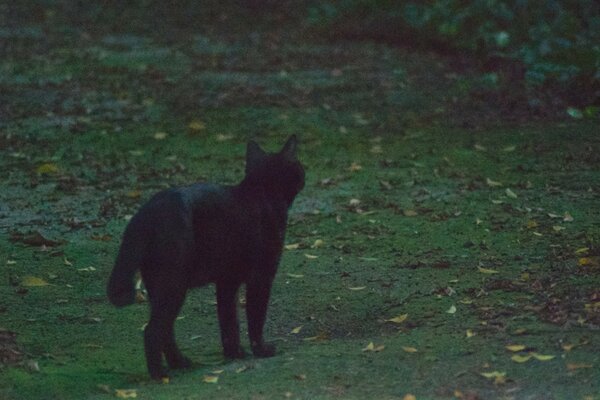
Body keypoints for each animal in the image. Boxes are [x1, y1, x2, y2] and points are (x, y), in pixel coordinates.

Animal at [106, 135, 304, 378]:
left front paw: (234, 353)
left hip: (159, 286)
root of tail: (145, 213)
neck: (262, 191)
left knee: (166, 329)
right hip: (173, 283)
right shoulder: (261, 277)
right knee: (153, 330)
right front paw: (262, 350)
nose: (304, 173)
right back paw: (160, 375)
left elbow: (228, 321)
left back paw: (180, 362)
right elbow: (255, 316)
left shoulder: (227, 282)